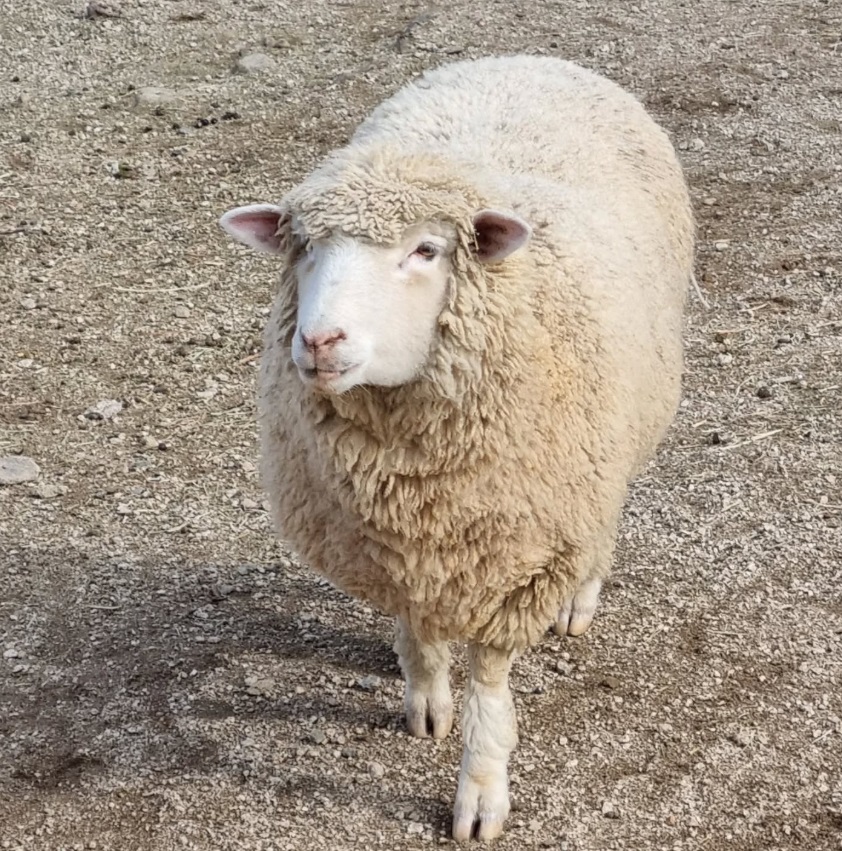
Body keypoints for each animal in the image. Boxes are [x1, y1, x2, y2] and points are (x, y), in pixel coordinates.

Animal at [219, 54, 694, 842]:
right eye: (303, 249)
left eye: (426, 249)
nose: (320, 341)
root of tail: (527, 56)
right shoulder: (395, 545)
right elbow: (418, 632)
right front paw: (427, 694)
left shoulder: (529, 555)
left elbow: (493, 687)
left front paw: (481, 789)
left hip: (620, 436)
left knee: (605, 522)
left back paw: (581, 600)